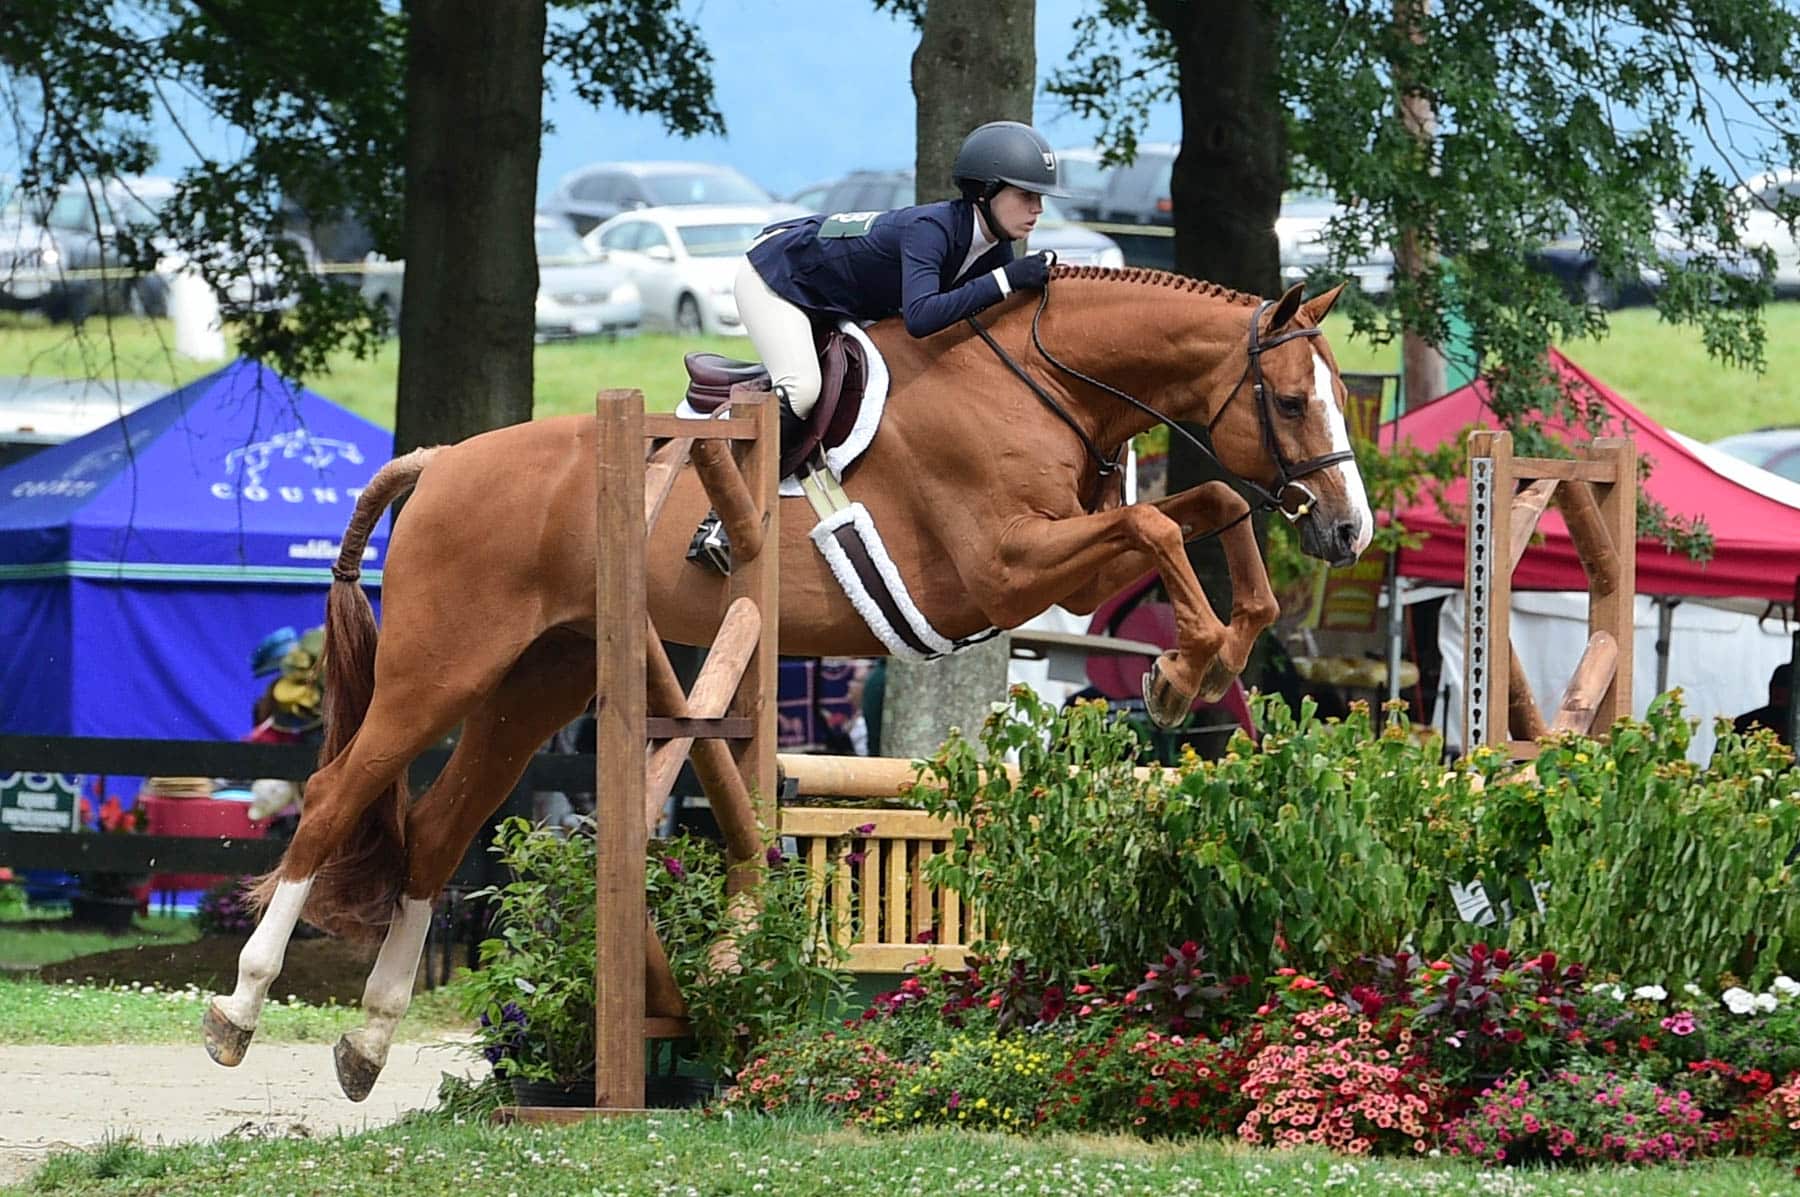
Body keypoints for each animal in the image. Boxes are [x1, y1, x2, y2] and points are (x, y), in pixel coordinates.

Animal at [204, 266, 1368, 1094]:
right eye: (1293, 401)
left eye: (1340, 399)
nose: (1350, 530)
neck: (1038, 383)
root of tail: (442, 461)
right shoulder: (1002, 570)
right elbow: (1164, 522)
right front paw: (1181, 671)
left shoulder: (1054, 564)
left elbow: (1212, 506)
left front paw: (1203, 660)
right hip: (437, 670)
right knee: (333, 797)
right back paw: (239, 1012)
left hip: (533, 682)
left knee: (439, 831)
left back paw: (367, 1043)